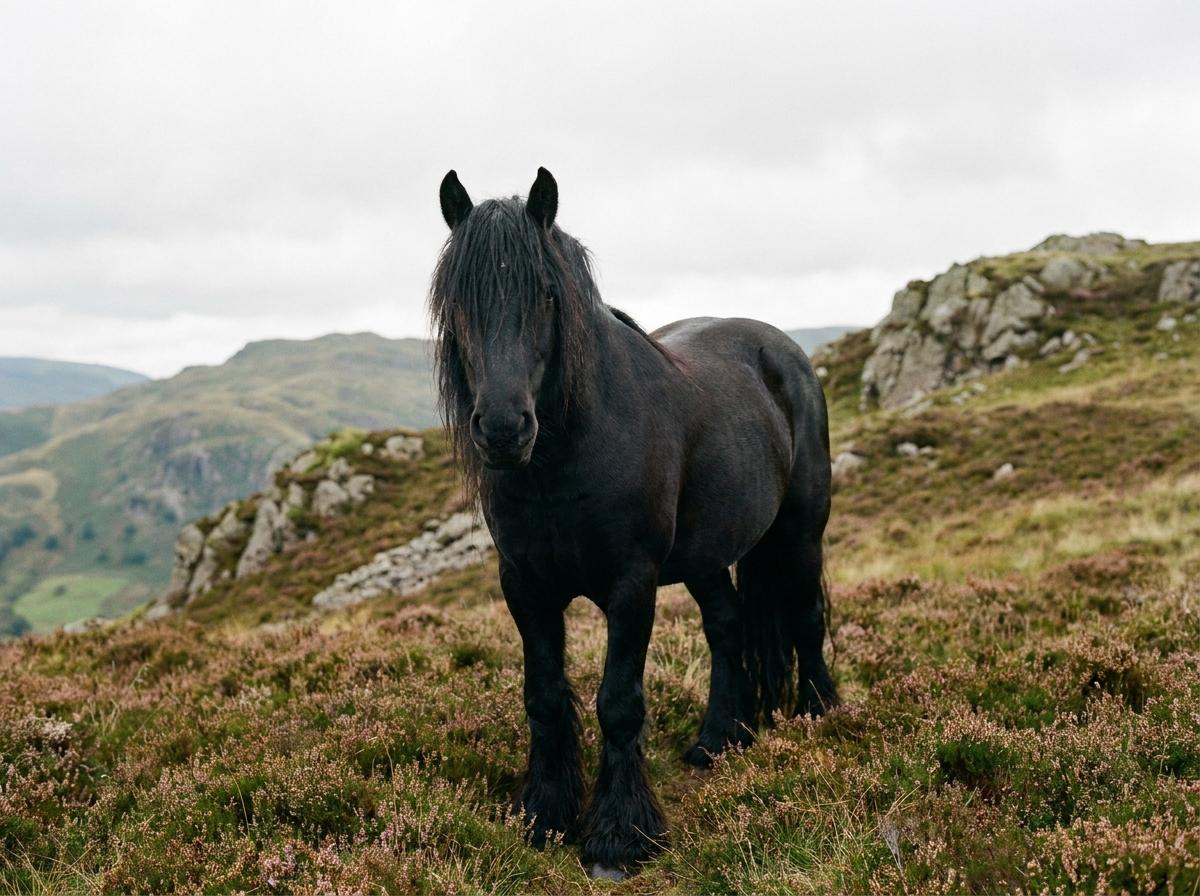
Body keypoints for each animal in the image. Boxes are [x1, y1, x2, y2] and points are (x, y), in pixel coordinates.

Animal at [429, 167, 836, 878]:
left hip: (800, 530)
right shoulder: (525, 588)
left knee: (806, 616)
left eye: (546, 293)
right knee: (727, 627)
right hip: (706, 556)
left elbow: (618, 704)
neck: (564, 462)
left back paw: (817, 715)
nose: (504, 429)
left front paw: (619, 839)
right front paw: (544, 816)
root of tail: (782, 349)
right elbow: (543, 696)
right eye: (458, 301)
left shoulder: (631, 586)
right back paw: (718, 741)